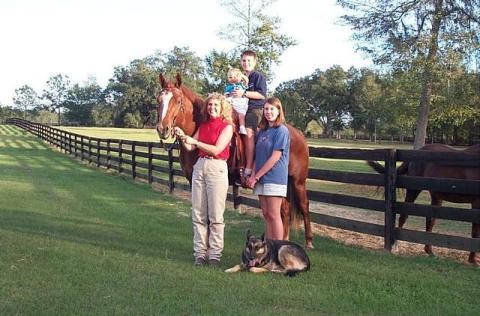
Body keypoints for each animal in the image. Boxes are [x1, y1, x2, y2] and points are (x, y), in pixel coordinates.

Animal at [157, 73, 316, 248]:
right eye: (158, 99)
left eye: (178, 101)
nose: (162, 128)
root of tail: (298, 134)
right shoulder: (194, 181)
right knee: (284, 210)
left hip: (298, 181)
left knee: (304, 205)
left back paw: (309, 242)